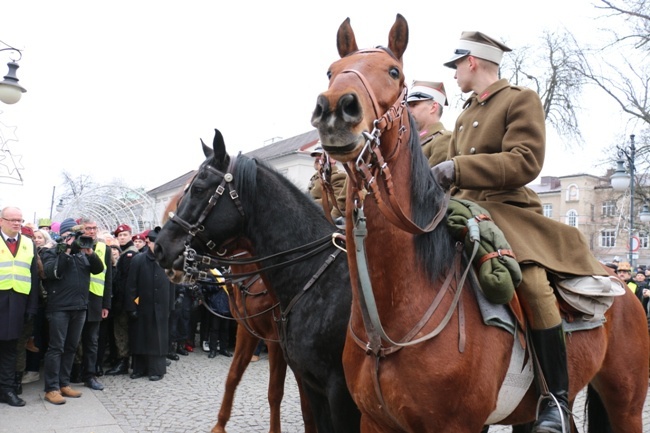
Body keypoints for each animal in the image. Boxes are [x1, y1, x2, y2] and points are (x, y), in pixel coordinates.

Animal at [161, 195, 316, 432]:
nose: (173, 264)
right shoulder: (247, 331)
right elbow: (233, 376)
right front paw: (219, 424)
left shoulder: (276, 342)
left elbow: (276, 392)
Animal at [312, 13, 644, 432]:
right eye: (330, 71)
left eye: (393, 71)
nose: (335, 109)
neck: (388, 325)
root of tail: (619, 283)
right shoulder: (375, 422)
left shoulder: (458, 425)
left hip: (626, 403)